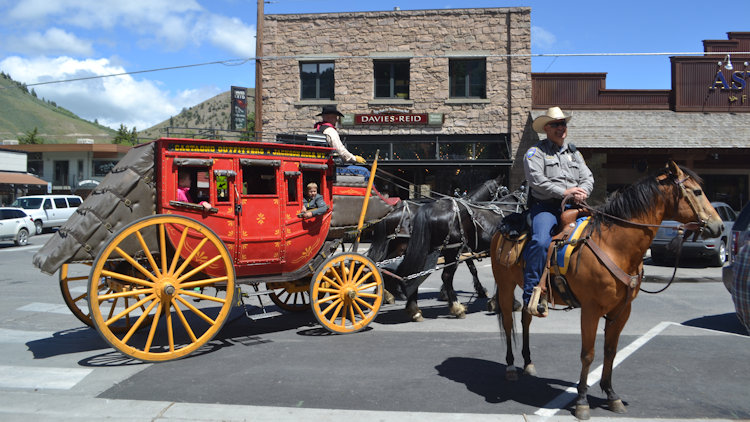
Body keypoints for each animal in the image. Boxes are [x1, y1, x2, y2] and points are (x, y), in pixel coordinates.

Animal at [490, 162, 724, 418]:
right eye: (697, 192)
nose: (719, 225)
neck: (615, 245)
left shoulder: (622, 310)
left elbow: (610, 351)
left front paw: (611, 395)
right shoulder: (591, 310)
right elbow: (588, 354)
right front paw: (582, 401)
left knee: (526, 319)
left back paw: (528, 362)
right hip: (505, 285)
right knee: (508, 323)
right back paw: (511, 366)